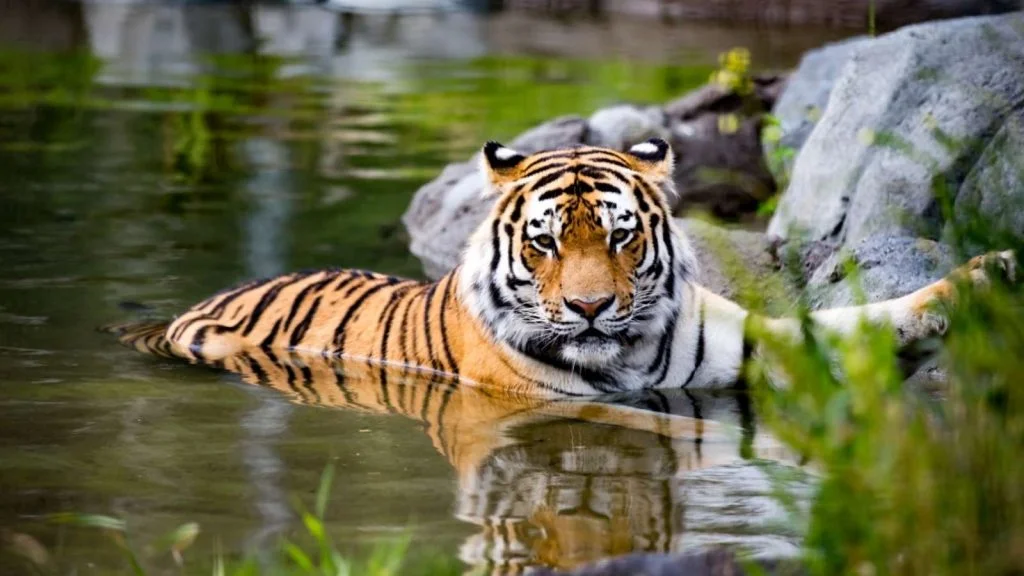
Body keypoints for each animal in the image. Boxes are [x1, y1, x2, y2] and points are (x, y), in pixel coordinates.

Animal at [120, 137, 1017, 397]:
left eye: (621, 238)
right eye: (545, 243)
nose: (588, 310)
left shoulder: (758, 343)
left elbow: (858, 320)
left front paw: (990, 274)